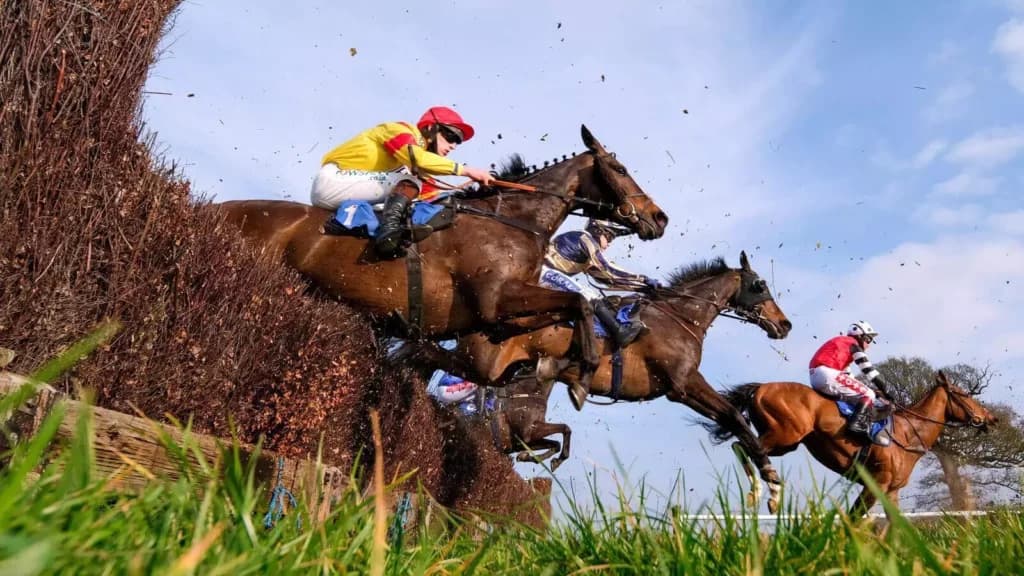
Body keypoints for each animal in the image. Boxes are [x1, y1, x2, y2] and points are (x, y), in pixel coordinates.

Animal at [216, 126, 667, 381]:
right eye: (621, 170)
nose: (658, 218)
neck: (513, 220)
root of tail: (215, 207)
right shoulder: (495, 298)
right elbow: (578, 302)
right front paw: (585, 365)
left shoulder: (497, 315)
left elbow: (566, 310)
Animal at [457, 252, 793, 489]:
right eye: (760, 285)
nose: (785, 324)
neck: (679, 316)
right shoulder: (683, 384)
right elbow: (733, 414)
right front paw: (768, 470)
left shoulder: (680, 390)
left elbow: (729, 416)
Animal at [709, 370, 998, 518]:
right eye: (964, 395)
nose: (991, 418)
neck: (908, 434)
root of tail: (760, 387)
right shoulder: (876, 483)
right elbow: (854, 518)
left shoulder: (891, 490)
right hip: (786, 434)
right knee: (747, 447)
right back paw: (765, 492)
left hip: (784, 441)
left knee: (744, 446)